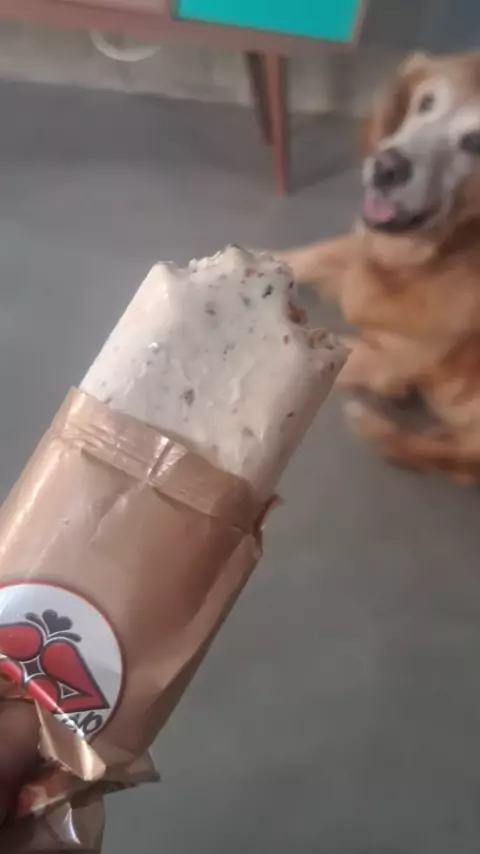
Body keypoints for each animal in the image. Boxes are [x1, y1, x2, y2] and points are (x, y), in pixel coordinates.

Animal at [279, 51, 480, 485]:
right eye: (426, 102)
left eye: (475, 142)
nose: (387, 165)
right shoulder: (358, 252)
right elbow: (307, 254)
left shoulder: (386, 361)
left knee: (436, 456)